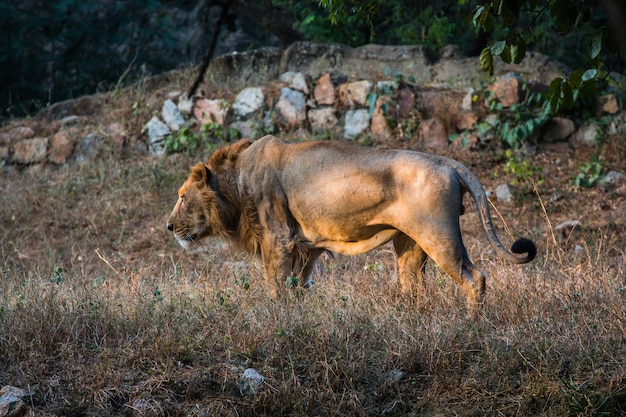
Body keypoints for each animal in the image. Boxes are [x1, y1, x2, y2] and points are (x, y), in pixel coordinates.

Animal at [167, 136, 536, 316]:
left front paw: (278, 319)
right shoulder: (305, 247)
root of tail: (448, 161)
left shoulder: (278, 239)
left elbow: (276, 287)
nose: (169, 227)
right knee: (414, 287)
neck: (235, 182)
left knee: (476, 277)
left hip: (439, 236)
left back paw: (473, 325)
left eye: (182, 196)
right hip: (409, 244)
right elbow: (298, 288)